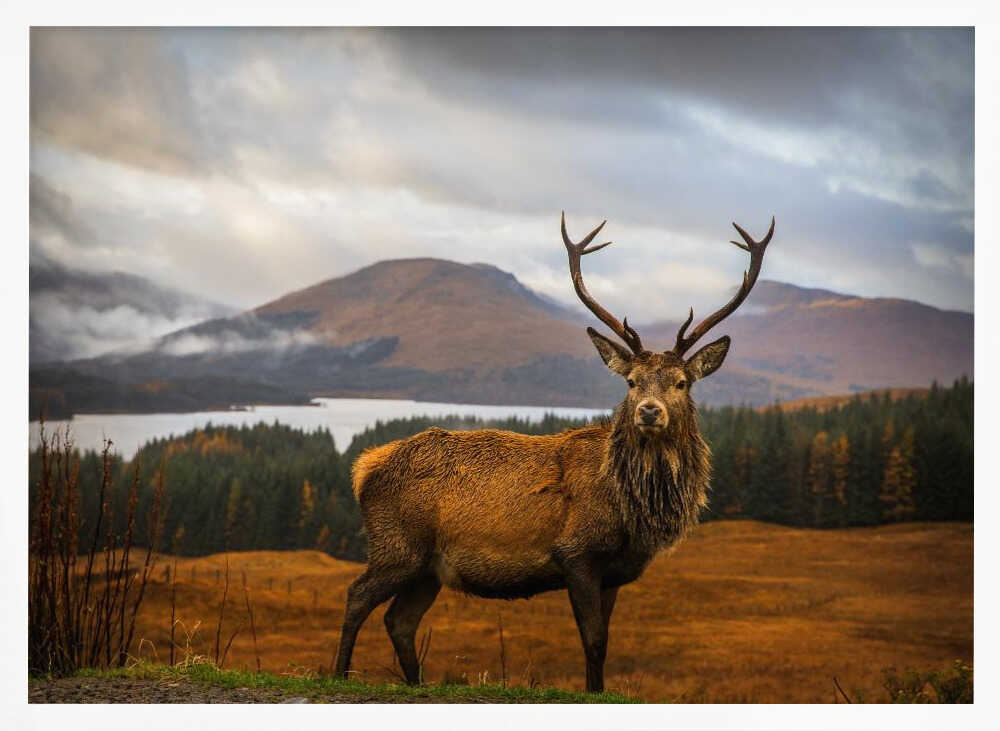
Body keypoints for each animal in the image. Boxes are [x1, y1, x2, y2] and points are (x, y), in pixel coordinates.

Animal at [333, 212, 774, 692]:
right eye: (631, 381)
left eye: (681, 382)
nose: (649, 411)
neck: (631, 511)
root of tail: (364, 467)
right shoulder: (575, 553)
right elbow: (593, 640)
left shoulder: (614, 572)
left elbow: (605, 641)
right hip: (397, 545)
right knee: (356, 597)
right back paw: (338, 674)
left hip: (428, 568)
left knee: (400, 621)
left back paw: (416, 684)